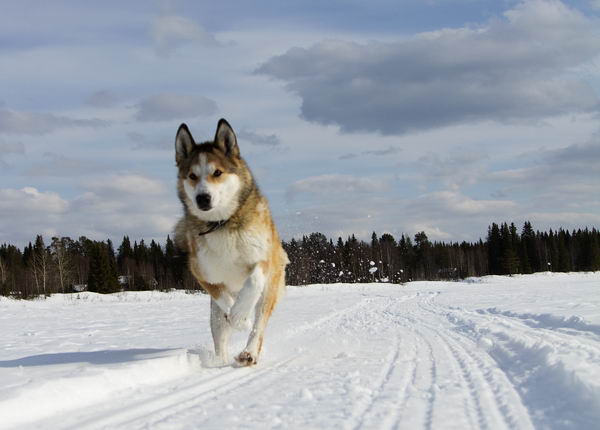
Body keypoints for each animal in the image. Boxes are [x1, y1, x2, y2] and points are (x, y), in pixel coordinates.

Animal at [173, 118, 288, 366]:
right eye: (192, 176)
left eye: (217, 172)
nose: (202, 198)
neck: (223, 223)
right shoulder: (204, 275)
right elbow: (224, 298)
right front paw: (239, 319)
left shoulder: (262, 258)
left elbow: (253, 282)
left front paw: (241, 315)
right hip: (214, 316)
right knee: (221, 336)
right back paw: (221, 358)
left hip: (270, 290)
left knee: (258, 326)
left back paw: (249, 352)